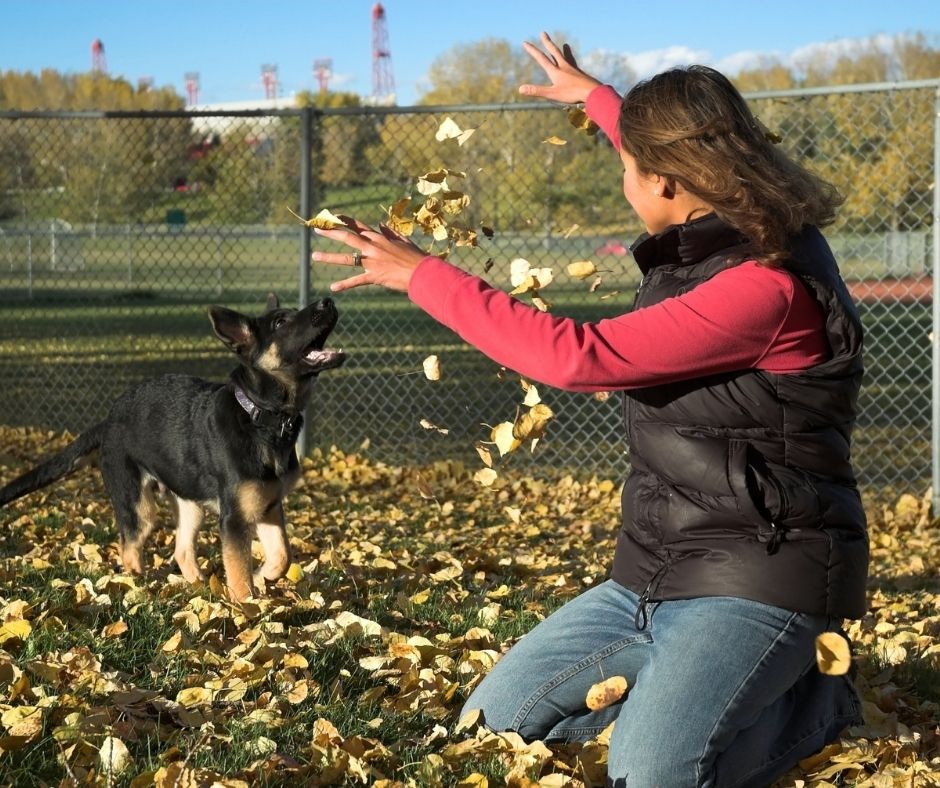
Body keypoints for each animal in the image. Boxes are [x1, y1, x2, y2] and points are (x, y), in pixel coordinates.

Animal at [0, 296, 346, 604]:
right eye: (281, 322)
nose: (328, 301)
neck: (261, 416)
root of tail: (108, 421)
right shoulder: (235, 518)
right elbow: (239, 573)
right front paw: (248, 609)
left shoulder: (267, 506)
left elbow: (282, 556)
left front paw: (262, 577)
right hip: (137, 504)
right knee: (129, 549)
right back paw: (142, 588)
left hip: (189, 502)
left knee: (180, 550)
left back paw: (199, 587)